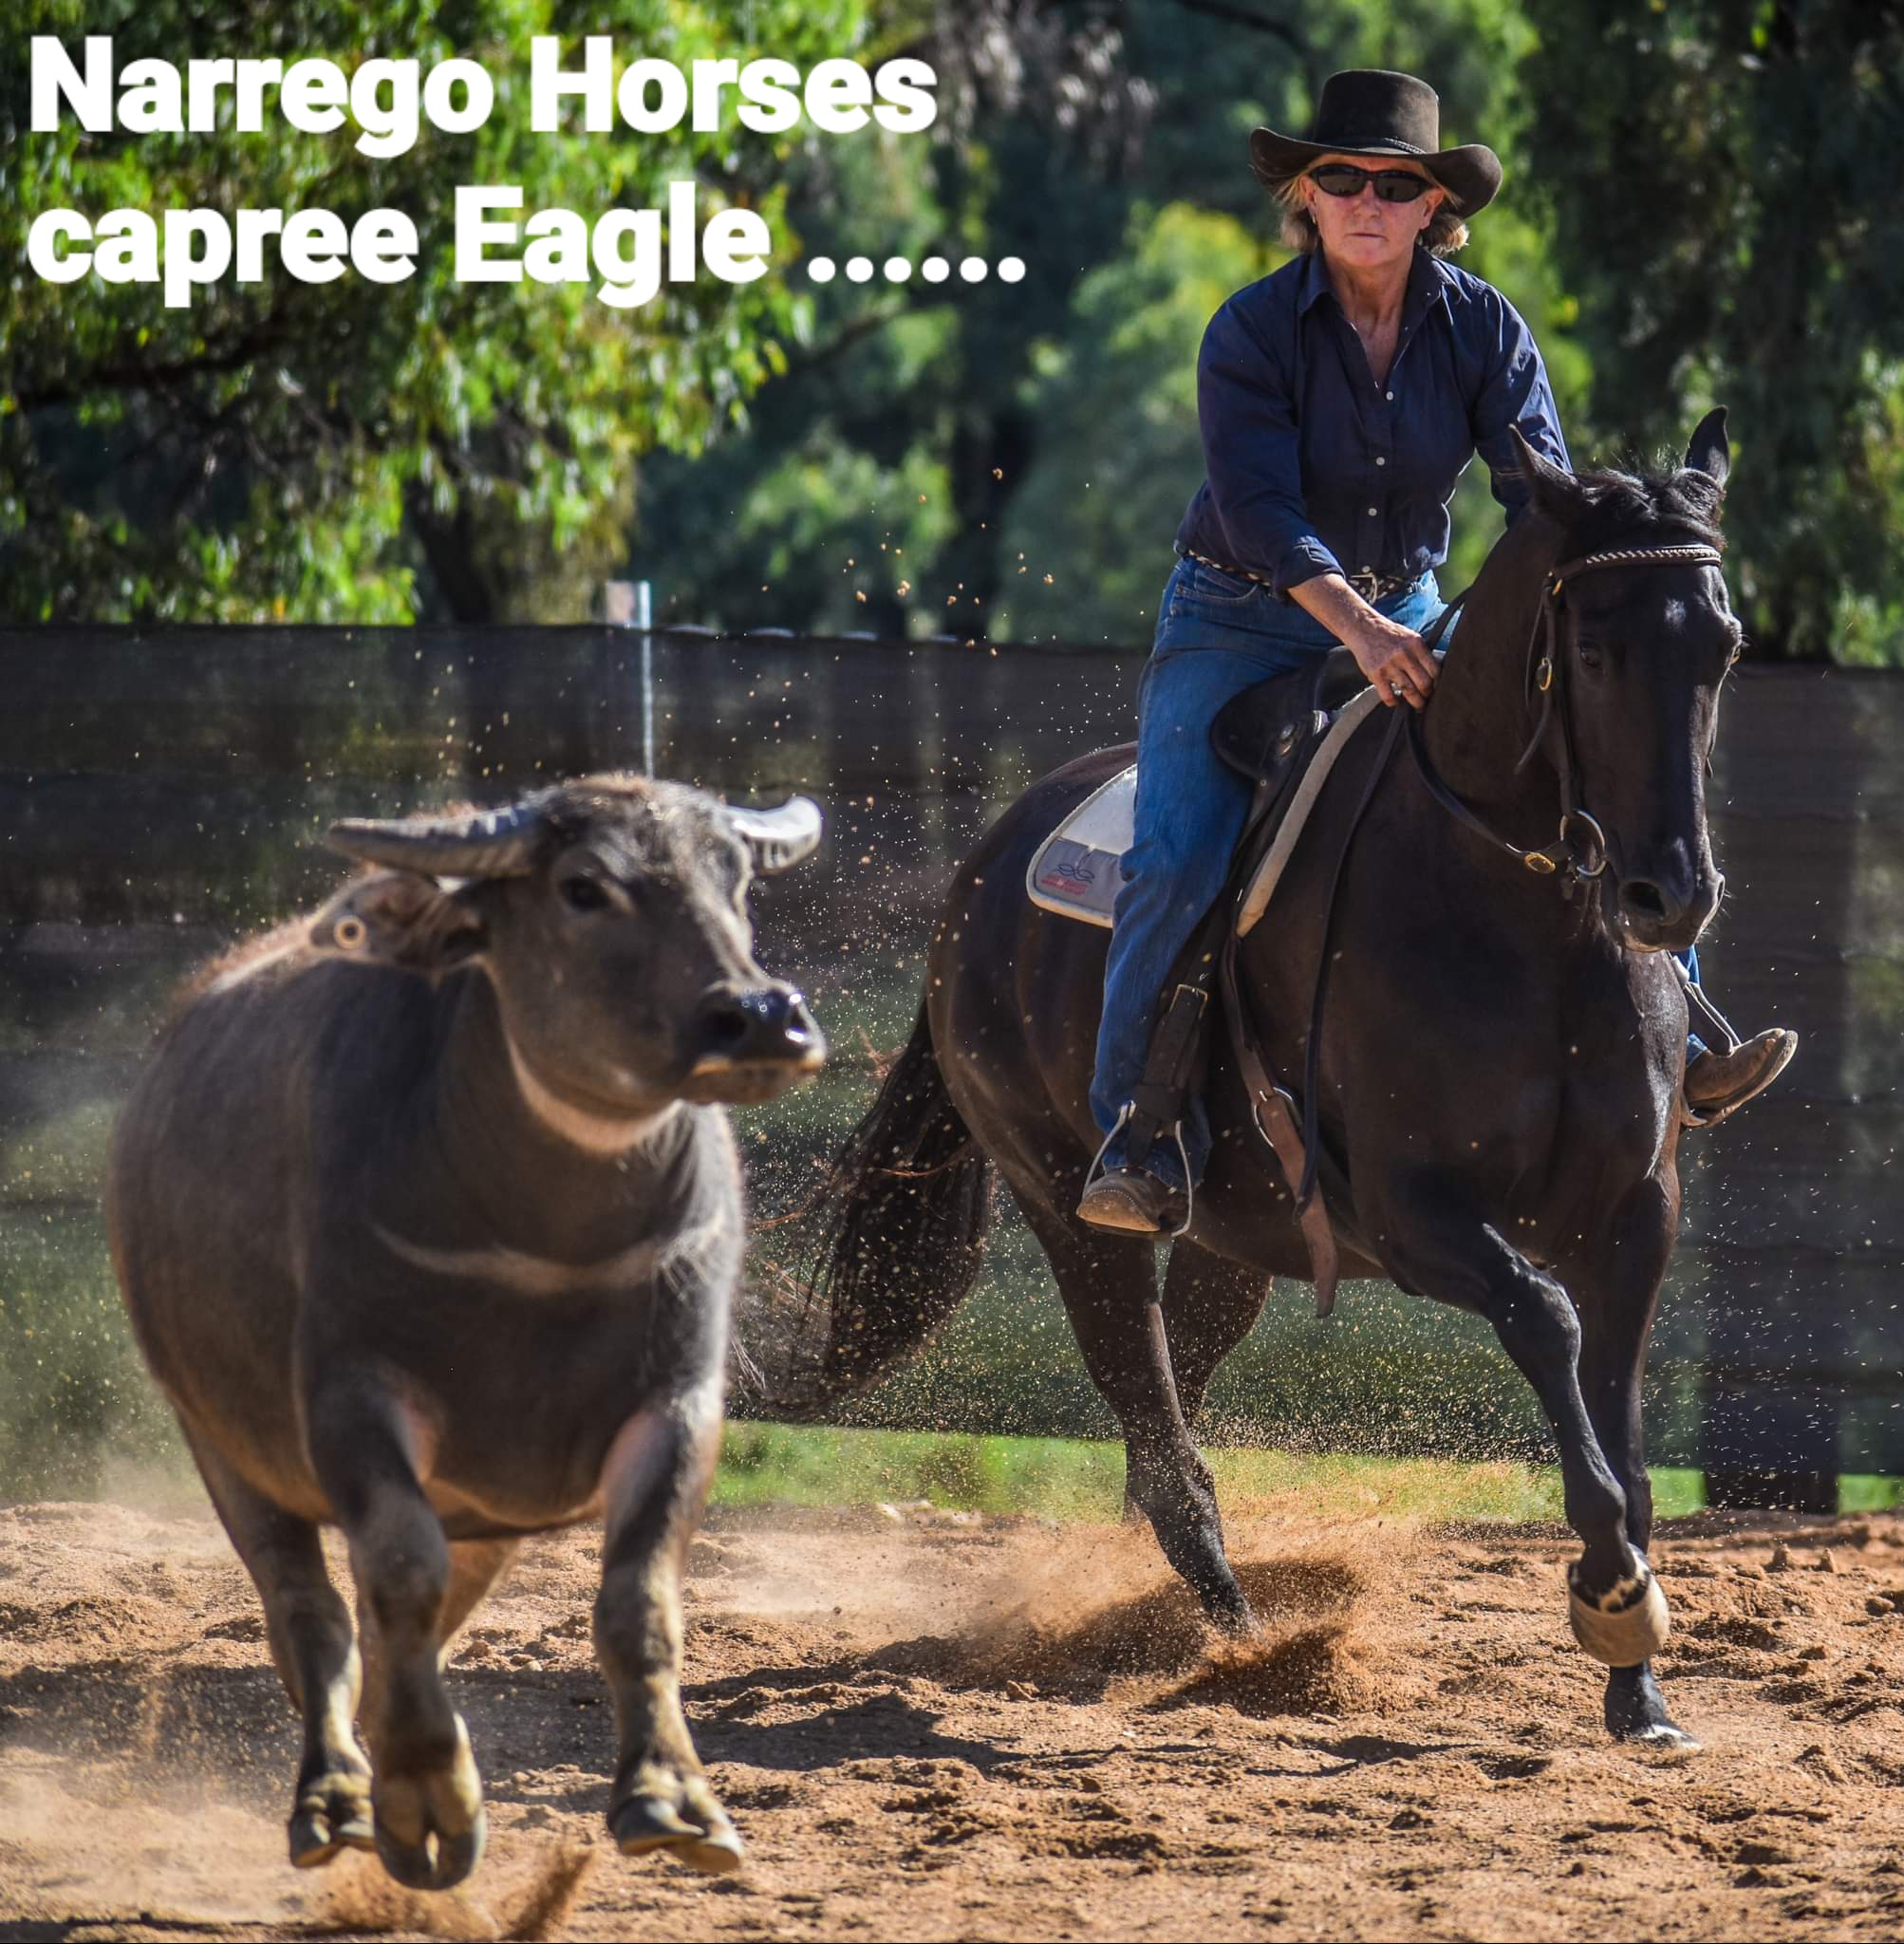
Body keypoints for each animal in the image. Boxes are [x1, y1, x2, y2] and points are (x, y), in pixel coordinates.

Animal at [106, 774, 826, 1891]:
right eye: (584, 886)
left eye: (735, 876)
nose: (759, 1019)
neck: (550, 1246)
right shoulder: (352, 1398)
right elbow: (396, 1576)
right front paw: (424, 1798)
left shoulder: (676, 1401)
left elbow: (641, 1597)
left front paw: (672, 1797)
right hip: (221, 1442)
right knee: (312, 1613)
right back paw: (335, 1796)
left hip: (482, 1515)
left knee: (411, 1621)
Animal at [765, 413, 1742, 1749]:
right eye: (1590, 649)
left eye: (1720, 649)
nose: (1668, 895)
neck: (1513, 912)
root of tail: (978, 869)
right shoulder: (1412, 1212)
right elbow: (1544, 1319)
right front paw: (1609, 1595)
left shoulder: (1639, 1209)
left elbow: (1624, 1429)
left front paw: (1638, 1686)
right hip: (1068, 1205)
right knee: (1151, 1421)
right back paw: (1233, 1633)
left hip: (1235, 1235)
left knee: (1166, 1410)